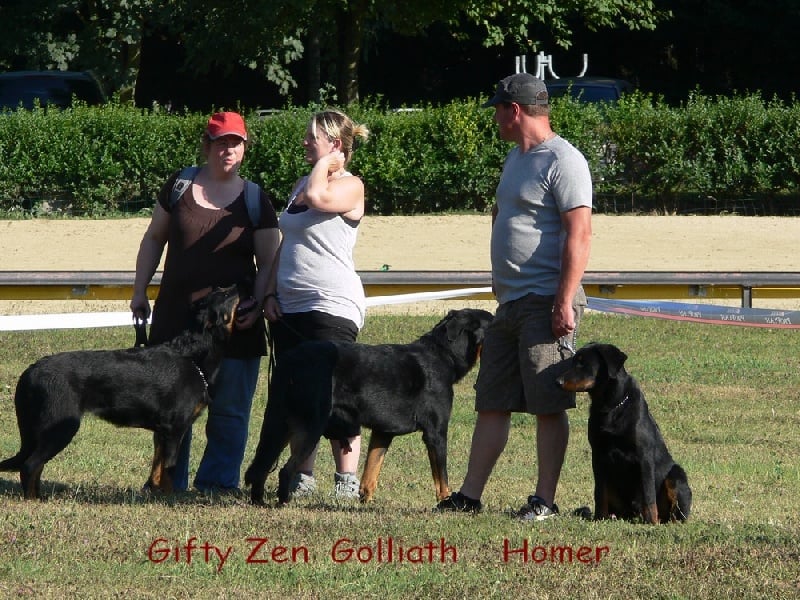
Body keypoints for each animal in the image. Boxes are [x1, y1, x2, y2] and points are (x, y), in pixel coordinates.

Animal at [0, 285, 241, 499]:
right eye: (226, 295)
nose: (241, 284)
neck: (193, 357)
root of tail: (30, 371)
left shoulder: (163, 432)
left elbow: (157, 468)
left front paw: (155, 494)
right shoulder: (175, 429)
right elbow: (169, 470)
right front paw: (170, 499)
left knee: (35, 465)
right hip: (60, 427)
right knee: (30, 465)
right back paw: (33, 500)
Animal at [244, 308, 494, 506]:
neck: (443, 355)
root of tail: (290, 360)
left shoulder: (383, 432)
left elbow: (371, 473)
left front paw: (365, 502)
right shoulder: (436, 432)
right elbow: (441, 475)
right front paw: (445, 501)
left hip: (280, 421)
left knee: (262, 464)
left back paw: (258, 501)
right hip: (310, 425)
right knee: (285, 469)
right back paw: (282, 503)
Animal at [556, 342, 692, 524]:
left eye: (582, 363)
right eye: (573, 362)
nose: (557, 381)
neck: (610, 406)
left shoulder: (644, 456)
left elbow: (648, 494)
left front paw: (652, 522)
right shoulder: (598, 455)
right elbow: (599, 492)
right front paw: (599, 518)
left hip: (676, 476)